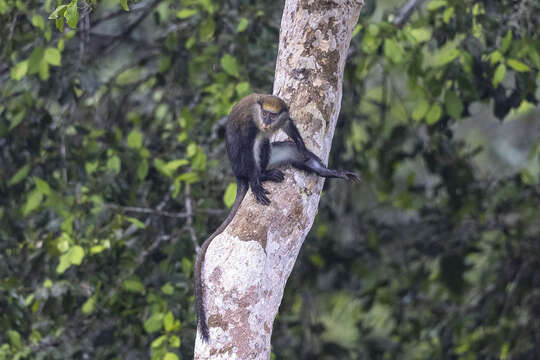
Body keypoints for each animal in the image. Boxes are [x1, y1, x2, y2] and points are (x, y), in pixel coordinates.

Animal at [194, 93, 358, 340]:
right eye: (265, 114)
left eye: (272, 115)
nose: (267, 122)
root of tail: (238, 175)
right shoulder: (250, 124)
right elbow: (248, 144)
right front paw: (257, 182)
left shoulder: (283, 116)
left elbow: (291, 131)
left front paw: (300, 142)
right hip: (245, 164)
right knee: (256, 149)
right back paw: (261, 177)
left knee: (290, 152)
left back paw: (324, 171)